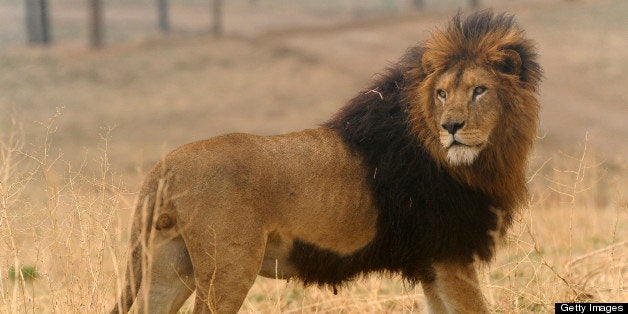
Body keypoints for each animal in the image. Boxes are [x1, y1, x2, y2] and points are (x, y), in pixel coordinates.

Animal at [110, 11, 544, 312]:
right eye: (441, 93)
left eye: (479, 90)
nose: (451, 126)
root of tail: (165, 165)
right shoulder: (450, 253)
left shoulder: (431, 261)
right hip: (229, 266)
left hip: (169, 263)